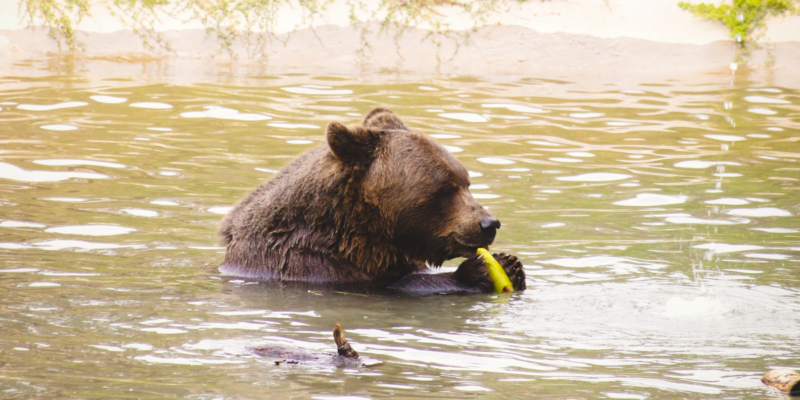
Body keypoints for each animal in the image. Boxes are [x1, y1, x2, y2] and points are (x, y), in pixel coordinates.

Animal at [218, 108, 525, 294]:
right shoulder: (312, 267)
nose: (489, 223)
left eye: (465, 182)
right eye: (445, 188)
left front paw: (513, 265)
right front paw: (479, 270)